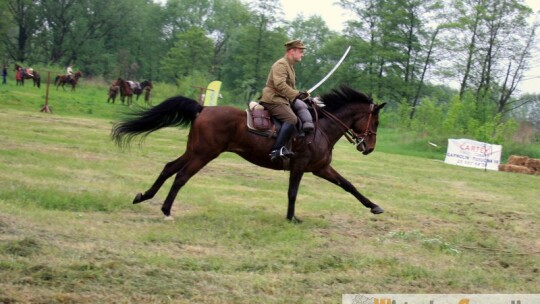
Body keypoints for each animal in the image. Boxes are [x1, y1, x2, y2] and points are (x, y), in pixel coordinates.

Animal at [112, 86, 386, 222]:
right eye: (376, 122)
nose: (369, 147)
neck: (321, 128)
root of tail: (203, 108)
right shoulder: (299, 166)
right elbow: (293, 193)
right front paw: (291, 218)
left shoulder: (321, 168)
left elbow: (348, 185)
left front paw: (374, 206)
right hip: (203, 154)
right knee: (181, 177)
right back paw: (166, 210)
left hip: (194, 151)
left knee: (169, 167)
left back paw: (144, 196)